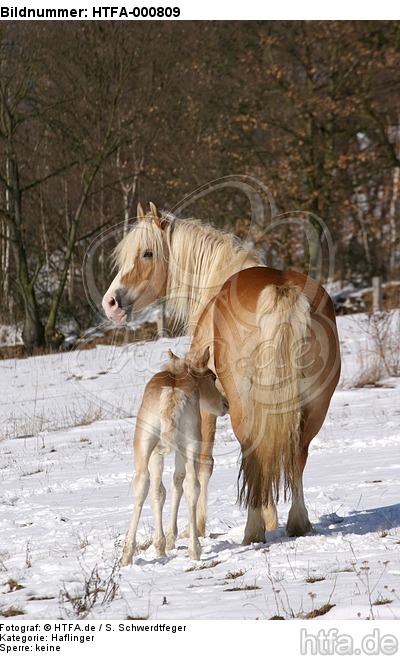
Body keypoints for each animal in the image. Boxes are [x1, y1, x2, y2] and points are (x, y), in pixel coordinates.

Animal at [102, 202, 340, 544]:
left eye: (147, 253)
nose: (111, 303)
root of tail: (281, 289)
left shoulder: (207, 406)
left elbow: (204, 464)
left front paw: (198, 526)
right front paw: (272, 518)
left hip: (244, 405)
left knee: (254, 453)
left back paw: (253, 528)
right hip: (314, 406)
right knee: (296, 455)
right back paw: (297, 522)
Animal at [120, 346, 228, 568]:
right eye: (212, 376)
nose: (225, 404)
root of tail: (172, 393)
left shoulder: (157, 452)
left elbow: (159, 491)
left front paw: (161, 545)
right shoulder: (175, 450)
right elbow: (175, 484)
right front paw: (168, 540)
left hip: (145, 445)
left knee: (142, 484)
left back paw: (127, 555)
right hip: (190, 444)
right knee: (191, 486)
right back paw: (195, 549)